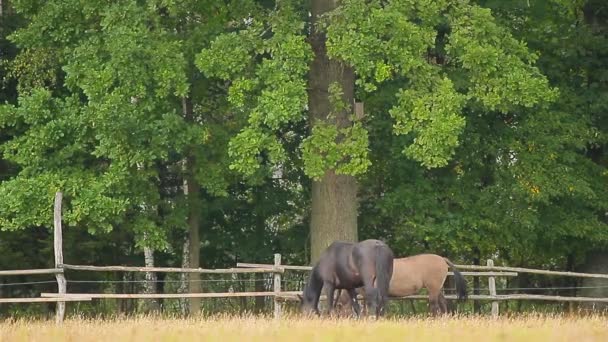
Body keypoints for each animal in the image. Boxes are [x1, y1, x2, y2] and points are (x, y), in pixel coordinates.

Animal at [334, 254, 468, 316]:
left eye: (339, 307)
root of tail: (442, 259)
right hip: (437, 289)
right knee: (443, 304)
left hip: (433, 289)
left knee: (434, 306)